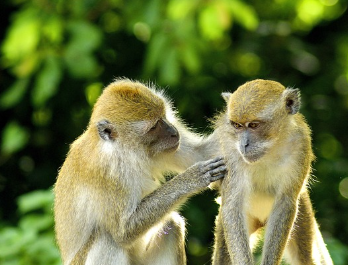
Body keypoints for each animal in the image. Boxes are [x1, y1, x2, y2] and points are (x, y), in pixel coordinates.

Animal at [53, 79, 227, 264]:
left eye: (163, 117)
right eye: (154, 127)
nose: (174, 132)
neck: (123, 151)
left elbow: (200, 152)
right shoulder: (106, 172)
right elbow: (123, 231)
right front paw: (193, 178)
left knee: (171, 225)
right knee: (107, 238)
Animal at [211, 79, 334, 264]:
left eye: (254, 125)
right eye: (237, 126)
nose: (244, 145)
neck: (271, 148)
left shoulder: (301, 145)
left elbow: (285, 203)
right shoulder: (231, 151)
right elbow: (232, 206)